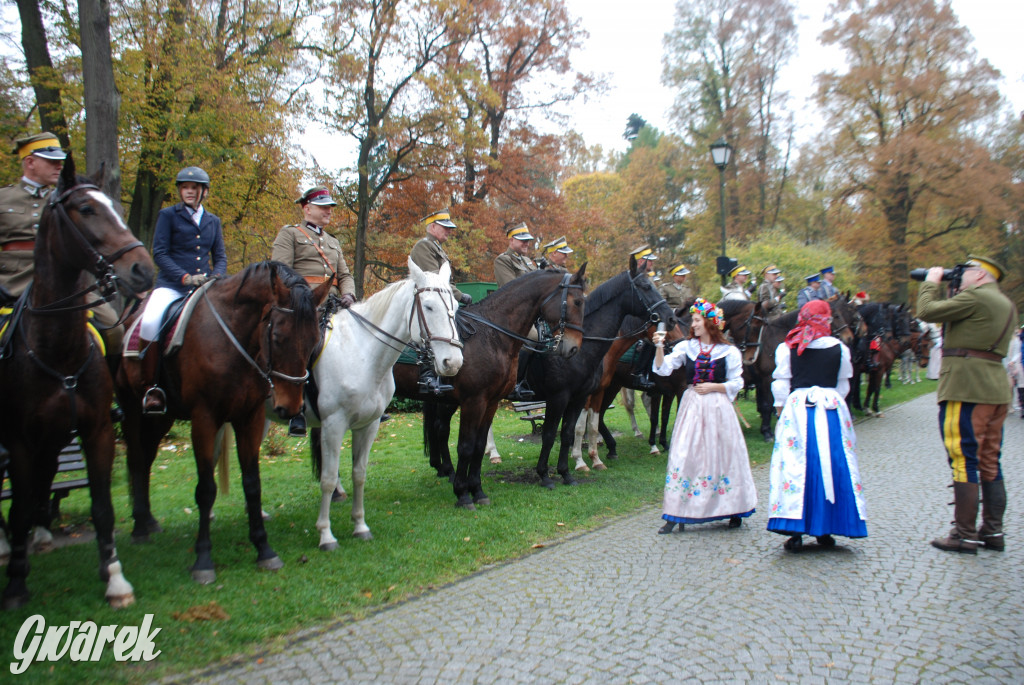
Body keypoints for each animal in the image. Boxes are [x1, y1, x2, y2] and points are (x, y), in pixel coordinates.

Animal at [0, 158, 153, 610]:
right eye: (85, 209)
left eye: (116, 208)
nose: (142, 268)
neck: (56, 351)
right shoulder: (17, 438)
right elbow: (16, 509)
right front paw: (16, 586)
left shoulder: (96, 428)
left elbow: (102, 506)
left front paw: (115, 579)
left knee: (47, 476)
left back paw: (43, 535)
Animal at [117, 262, 329, 581]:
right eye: (277, 337)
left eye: (314, 340)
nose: (291, 408)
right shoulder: (204, 419)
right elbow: (205, 489)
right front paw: (203, 559)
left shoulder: (250, 417)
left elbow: (252, 484)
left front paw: (264, 549)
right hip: (131, 408)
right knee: (136, 458)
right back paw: (140, 527)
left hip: (162, 417)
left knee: (146, 459)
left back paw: (150, 521)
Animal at [276, 255, 464, 544]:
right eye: (429, 306)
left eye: (455, 306)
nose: (453, 362)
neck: (362, 351)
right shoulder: (334, 423)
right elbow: (327, 476)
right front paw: (326, 534)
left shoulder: (369, 424)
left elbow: (359, 473)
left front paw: (359, 526)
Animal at [391, 266, 585, 507]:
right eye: (577, 301)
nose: (573, 348)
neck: (492, 336)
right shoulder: (473, 401)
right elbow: (466, 446)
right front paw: (463, 493)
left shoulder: (490, 402)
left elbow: (479, 444)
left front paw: (477, 490)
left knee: (440, 428)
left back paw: (445, 469)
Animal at [524, 254, 675, 485]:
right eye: (646, 286)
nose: (671, 318)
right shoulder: (559, 396)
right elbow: (555, 433)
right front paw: (559, 469)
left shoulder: (586, 394)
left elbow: (577, 429)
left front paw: (580, 466)